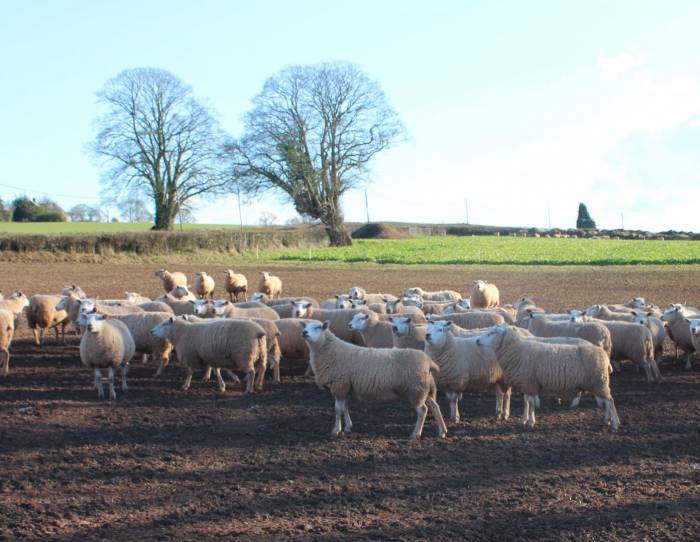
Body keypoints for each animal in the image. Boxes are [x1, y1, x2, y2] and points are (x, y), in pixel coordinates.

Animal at [302, 324, 446, 442]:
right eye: (305, 326)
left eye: (317, 327)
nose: (304, 332)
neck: (331, 351)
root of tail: (428, 362)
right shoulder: (346, 387)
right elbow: (345, 408)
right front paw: (348, 427)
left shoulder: (339, 386)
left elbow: (338, 410)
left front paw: (336, 430)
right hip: (424, 390)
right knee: (435, 407)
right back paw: (442, 431)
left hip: (415, 390)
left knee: (423, 411)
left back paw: (416, 434)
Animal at [476, 326, 616, 432]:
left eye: (492, 333)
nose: (477, 340)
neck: (517, 350)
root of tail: (605, 356)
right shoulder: (527, 383)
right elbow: (526, 402)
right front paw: (524, 420)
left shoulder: (530, 382)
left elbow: (531, 403)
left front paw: (531, 422)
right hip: (598, 382)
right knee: (607, 401)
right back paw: (607, 420)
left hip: (599, 381)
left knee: (610, 401)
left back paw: (615, 423)